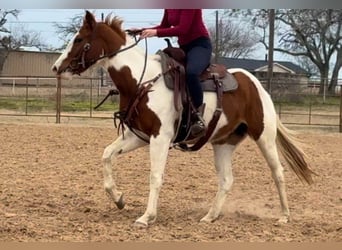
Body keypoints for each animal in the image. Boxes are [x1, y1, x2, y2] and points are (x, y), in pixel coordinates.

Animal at [51, 10, 316, 228]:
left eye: (78, 39)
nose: (56, 67)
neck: (142, 80)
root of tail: (255, 83)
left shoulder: (160, 138)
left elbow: (155, 176)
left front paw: (146, 217)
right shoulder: (140, 136)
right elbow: (107, 155)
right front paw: (119, 199)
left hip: (264, 136)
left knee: (278, 172)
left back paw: (284, 216)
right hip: (223, 142)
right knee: (226, 180)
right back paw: (210, 216)